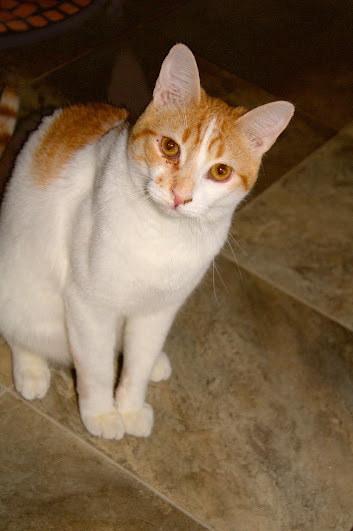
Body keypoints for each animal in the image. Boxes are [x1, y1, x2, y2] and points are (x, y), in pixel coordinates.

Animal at [0, 44, 292, 440]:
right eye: (169, 147)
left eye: (221, 171)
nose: (180, 196)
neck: (162, 233)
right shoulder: (90, 306)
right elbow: (97, 368)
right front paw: (102, 413)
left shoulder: (160, 309)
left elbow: (137, 363)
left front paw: (130, 406)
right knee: (20, 332)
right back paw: (31, 371)